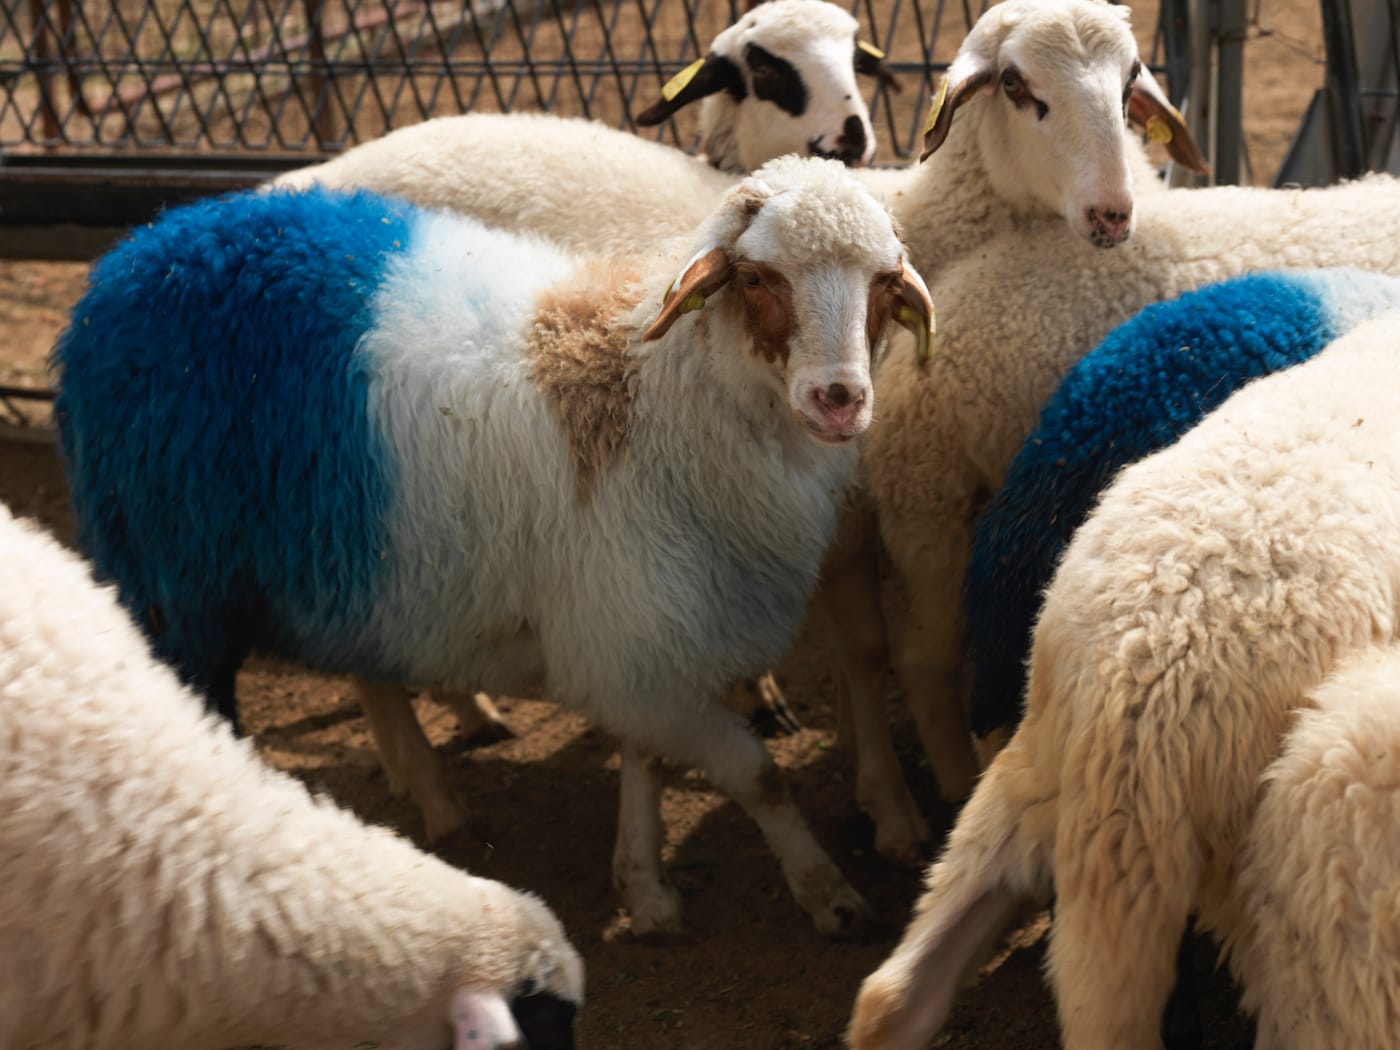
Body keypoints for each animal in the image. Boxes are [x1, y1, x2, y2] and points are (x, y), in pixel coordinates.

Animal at [50, 156, 935, 939]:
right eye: (757, 280)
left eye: (886, 285)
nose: (839, 399)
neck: (656, 400)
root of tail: (144, 251)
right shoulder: (639, 636)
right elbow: (758, 775)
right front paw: (827, 894)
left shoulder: (634, 638)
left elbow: (645, 756)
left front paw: (643, 887)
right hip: (177, 576)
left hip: (343, 547)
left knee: (371, 673)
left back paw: (439, 792)